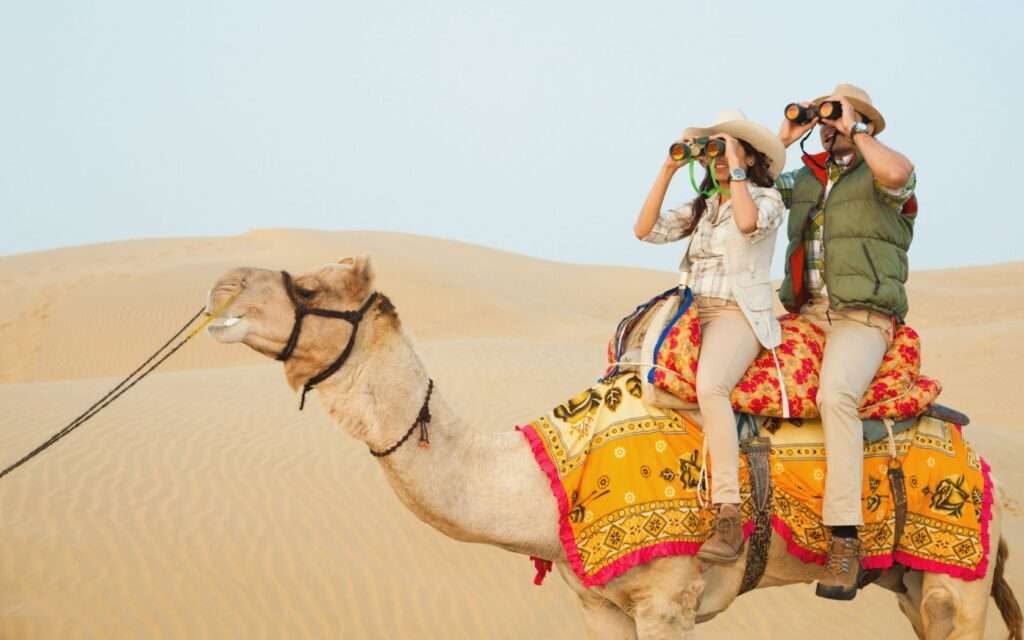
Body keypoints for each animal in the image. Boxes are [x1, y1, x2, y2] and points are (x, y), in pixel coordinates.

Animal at [203, 256, 1019, 638]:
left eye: (312, 287)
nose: (222, 286)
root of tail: (980, 463)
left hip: (959, 582)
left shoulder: (668, 599)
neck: (543, 483)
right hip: (911, 584)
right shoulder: (598, 605)